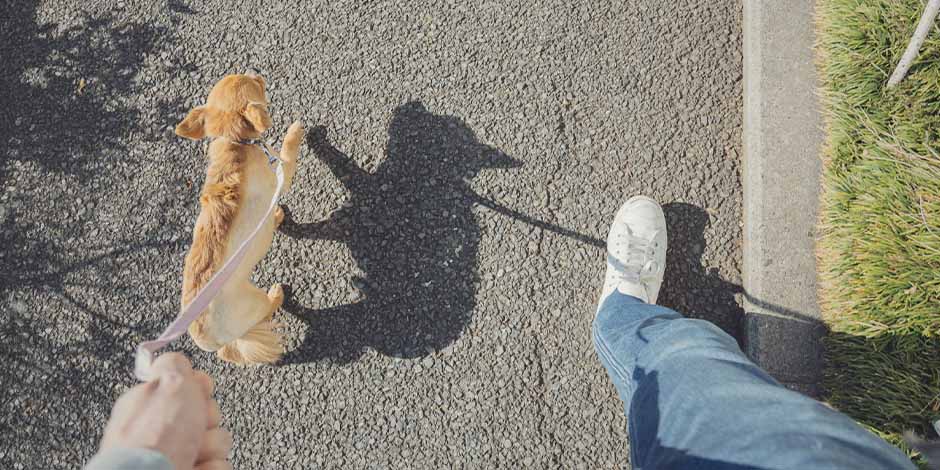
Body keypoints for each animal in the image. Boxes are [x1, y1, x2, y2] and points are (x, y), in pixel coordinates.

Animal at [174, 75, 302, 366]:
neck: (234, 141)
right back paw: (276, 294)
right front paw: (297, 131)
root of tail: (207, 339)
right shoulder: (279, 176)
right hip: (251, 302)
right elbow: (288, 155)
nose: (258, 74)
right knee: (267, 306)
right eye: (255, 84)